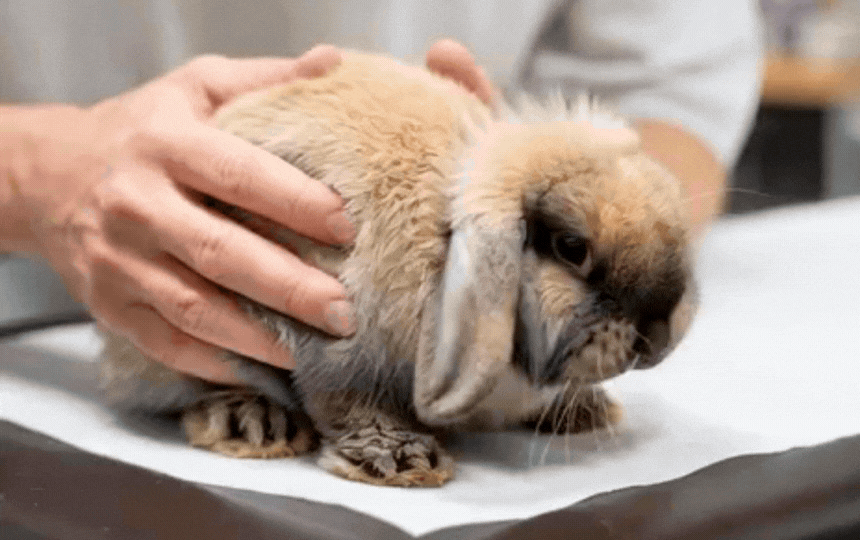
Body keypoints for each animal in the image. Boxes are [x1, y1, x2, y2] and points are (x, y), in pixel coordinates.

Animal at [99, 50, 696, 487]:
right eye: (572, 247)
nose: (659, 334)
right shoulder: (334, 336)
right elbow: (351, 401)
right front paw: (402, 465)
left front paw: (585, 411)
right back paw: (252, 425)